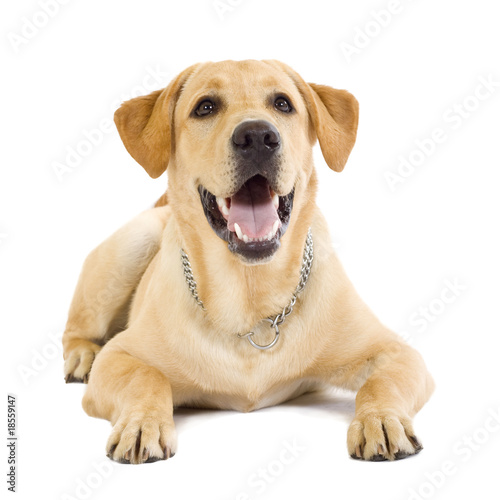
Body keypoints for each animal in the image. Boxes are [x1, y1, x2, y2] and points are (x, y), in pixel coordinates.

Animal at [63, 59, 434, 464]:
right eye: (205, 107)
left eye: (283, 103)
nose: (257, 136)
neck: (250, 296)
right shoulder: (119, 356)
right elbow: (147, 377)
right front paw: (142, 423)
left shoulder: (396, 352)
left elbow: (382, 381)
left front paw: (380, 419)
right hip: (134, 243)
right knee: (78, 329)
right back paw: (81, 355)